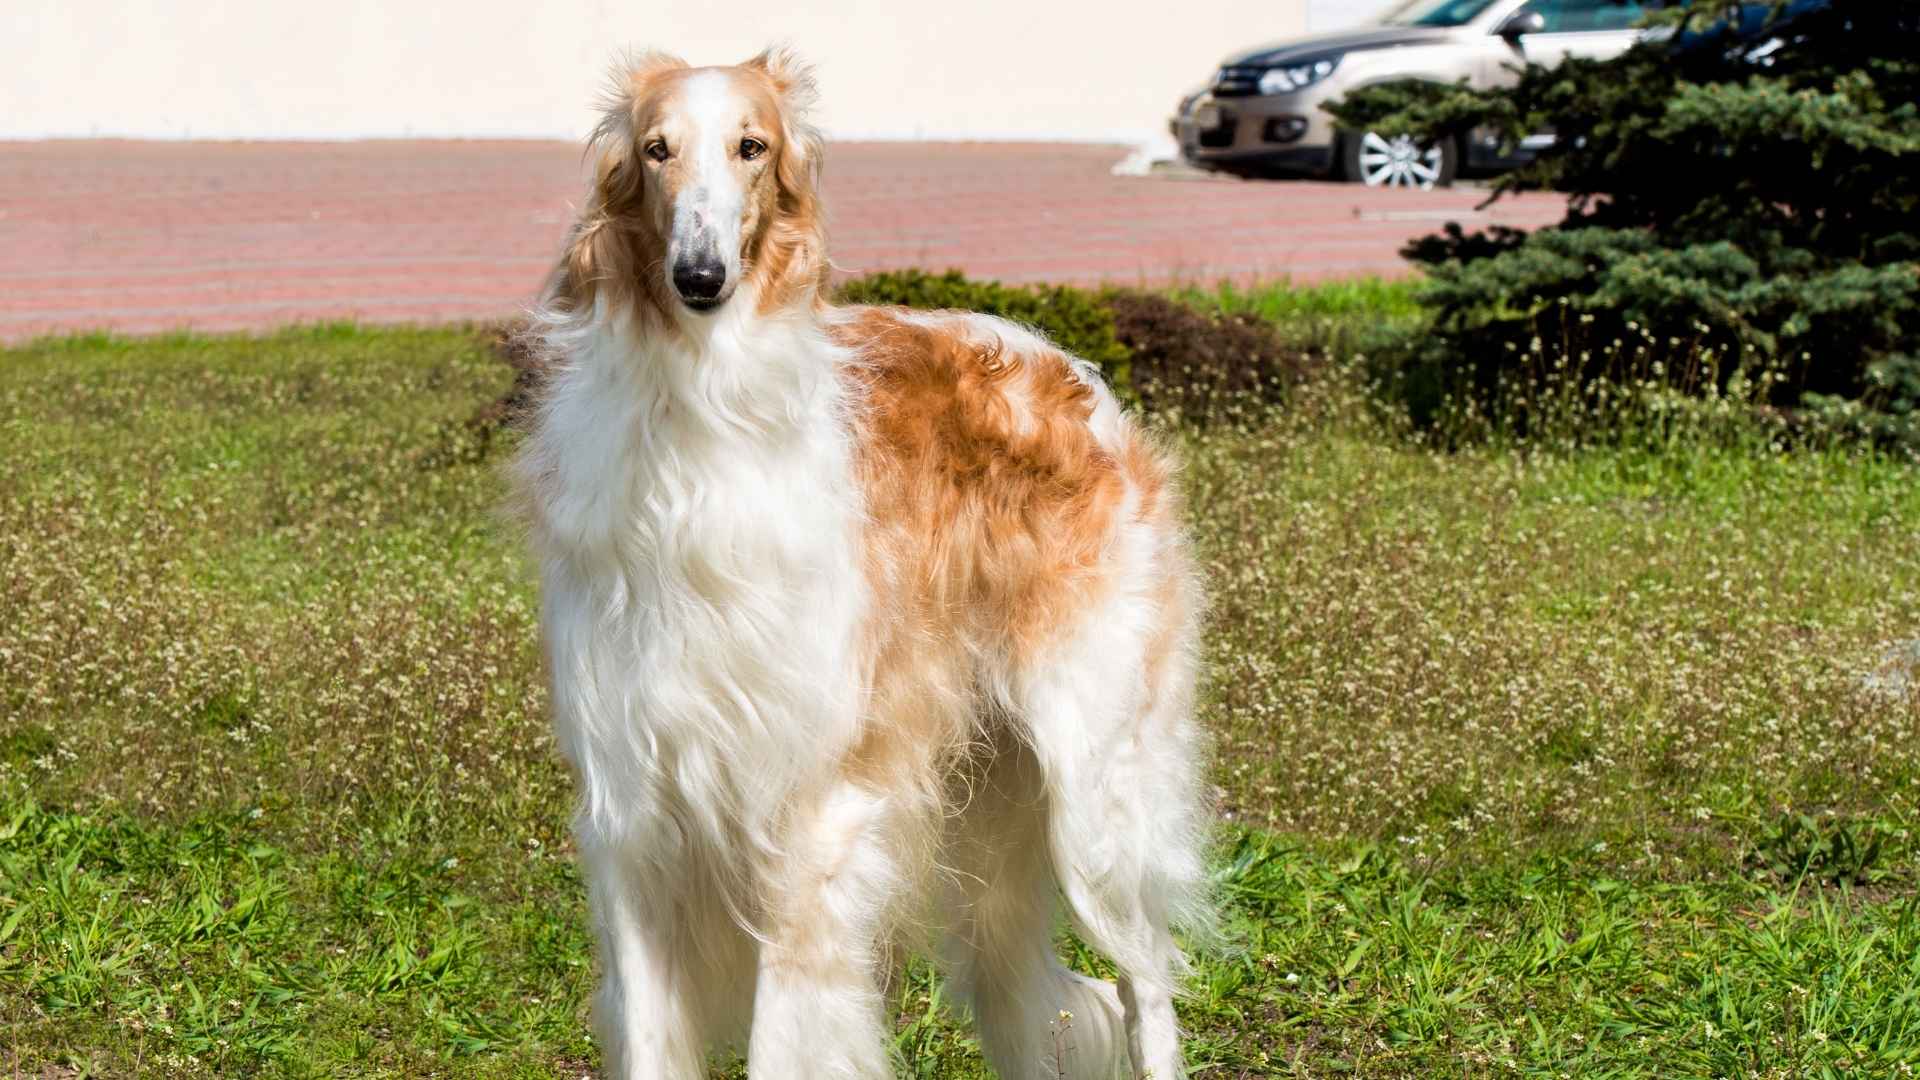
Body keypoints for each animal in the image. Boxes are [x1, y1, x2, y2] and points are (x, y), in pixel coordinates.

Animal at [503, 46, 1205, 1068]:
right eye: (657, 149)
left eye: (751, 146)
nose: (700, 276)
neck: (702, 428)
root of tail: (1071, 374)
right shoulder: (629, 809)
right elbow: (650, 1038)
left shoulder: (808, 812)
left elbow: (781, 1039)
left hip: (1095, 784)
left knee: (1146, 981)